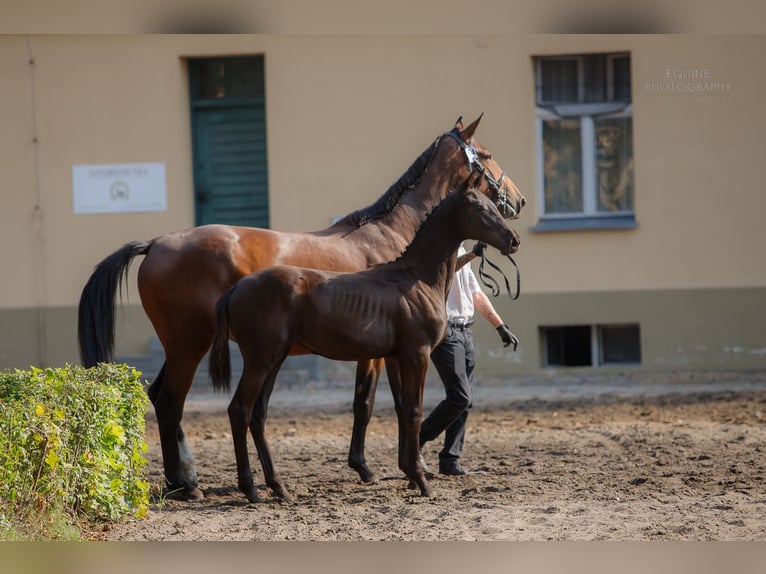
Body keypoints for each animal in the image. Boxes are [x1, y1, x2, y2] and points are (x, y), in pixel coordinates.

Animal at [208, 186, 520, 504]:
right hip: (259, 361)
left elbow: (402, 409)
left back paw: (278, 487)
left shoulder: (395, 357)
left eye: (493, 205)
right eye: (480, 209)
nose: (514, 240)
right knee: (240, 410)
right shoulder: (416, 354)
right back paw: (250, 488)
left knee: (258, 416)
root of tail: (237, 287)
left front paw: (410, 473)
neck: (416, 278)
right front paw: (421, 481)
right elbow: (414, 411)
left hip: (275, 359)